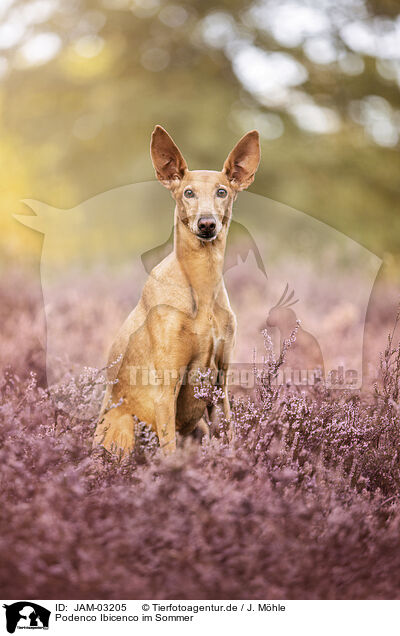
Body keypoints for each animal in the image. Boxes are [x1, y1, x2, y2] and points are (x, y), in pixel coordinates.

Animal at [94, 124, 262, 454]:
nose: (207, 224)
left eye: (222, 192)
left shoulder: (220, 385)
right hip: (123, 426)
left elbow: (231, 438)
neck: (202, 285)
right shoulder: (166, 389)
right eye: (188, 192)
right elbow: (169, 453)